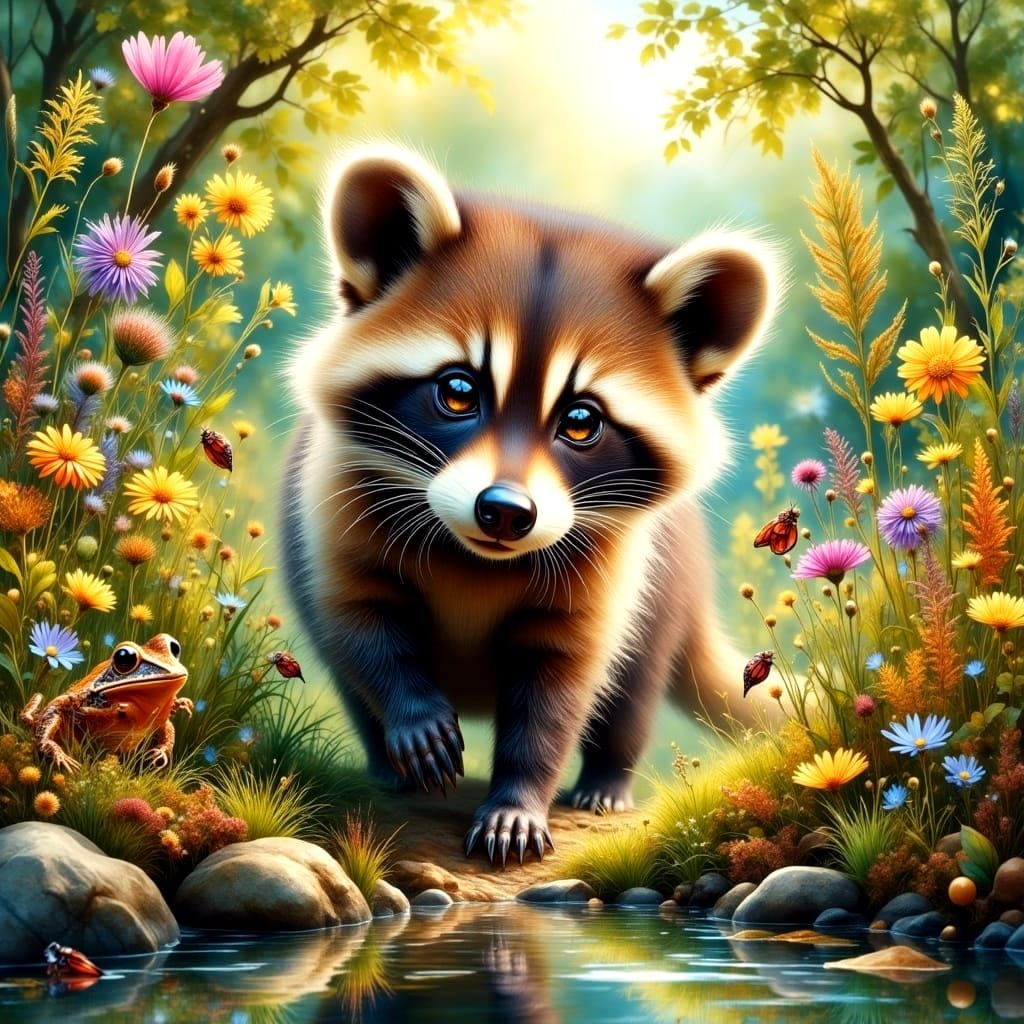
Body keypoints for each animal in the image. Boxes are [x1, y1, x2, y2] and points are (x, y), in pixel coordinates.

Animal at [282, 145, 781, 866]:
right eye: (458, 391)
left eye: (581, 421)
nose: (505, 511)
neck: (476, 557)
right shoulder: (333, 495)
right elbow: (362, 621)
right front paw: (412, 715)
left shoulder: (612, 566)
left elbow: (559, 687)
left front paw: (518, 799)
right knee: (351, 677)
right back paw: (386, 763)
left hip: (665, 593)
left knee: (631, 689)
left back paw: (606, 778)